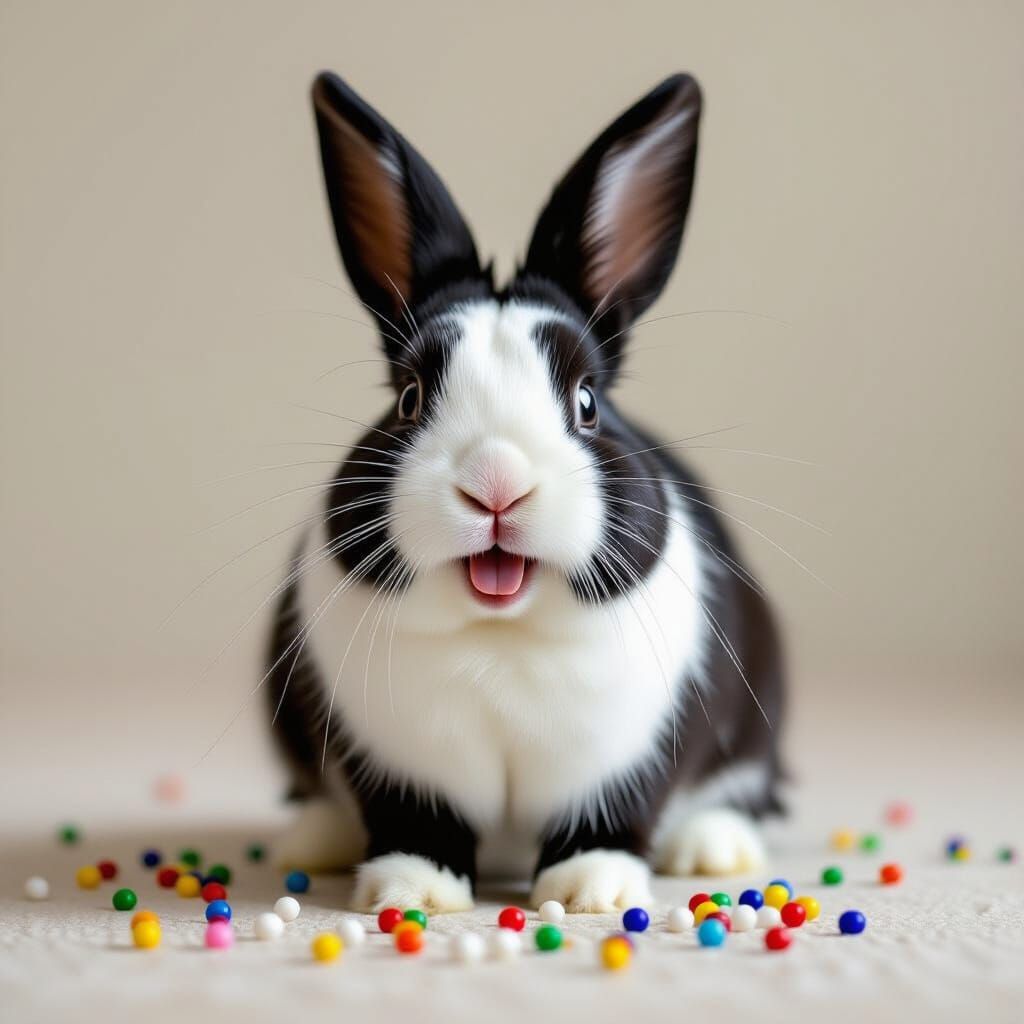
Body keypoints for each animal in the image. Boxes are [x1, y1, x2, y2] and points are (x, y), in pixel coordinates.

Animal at [265, 70, 785, 914]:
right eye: (409, 399)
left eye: (587, 402)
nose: (497, 484)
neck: (499, 635)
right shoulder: (396, 770)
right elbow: (414, 822)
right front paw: (410, 889)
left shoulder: (627, 761)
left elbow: (612, 817)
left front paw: (589, 889)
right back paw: (315, 838)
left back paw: (711, 850)